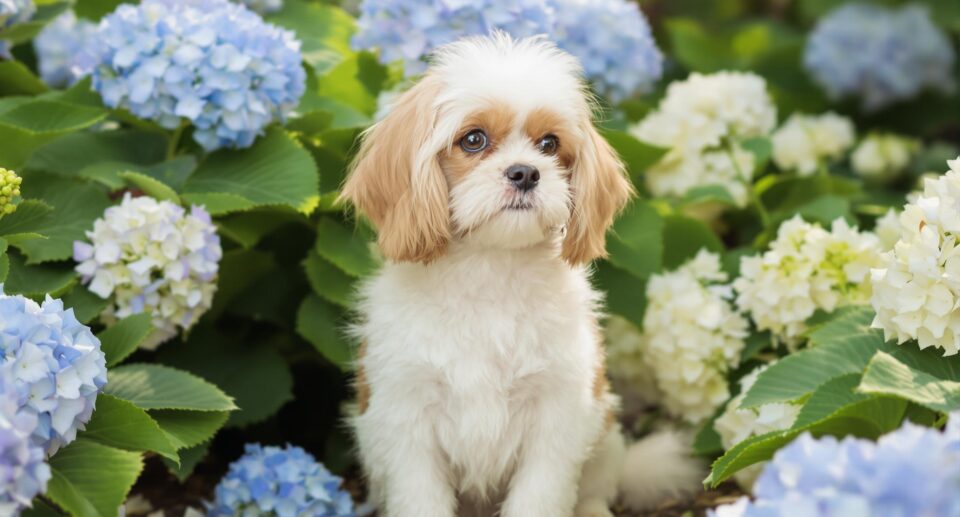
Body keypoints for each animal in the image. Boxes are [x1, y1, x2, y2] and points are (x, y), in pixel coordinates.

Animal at [342, 33, 700, 516]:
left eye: (549, 144)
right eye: (473, 139)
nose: (526, 172)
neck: (489, 269)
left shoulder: (558, 416)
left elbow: (541, 496)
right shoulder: (407, 420)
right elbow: (421, 497)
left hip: (605, 433)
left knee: (596, 490)